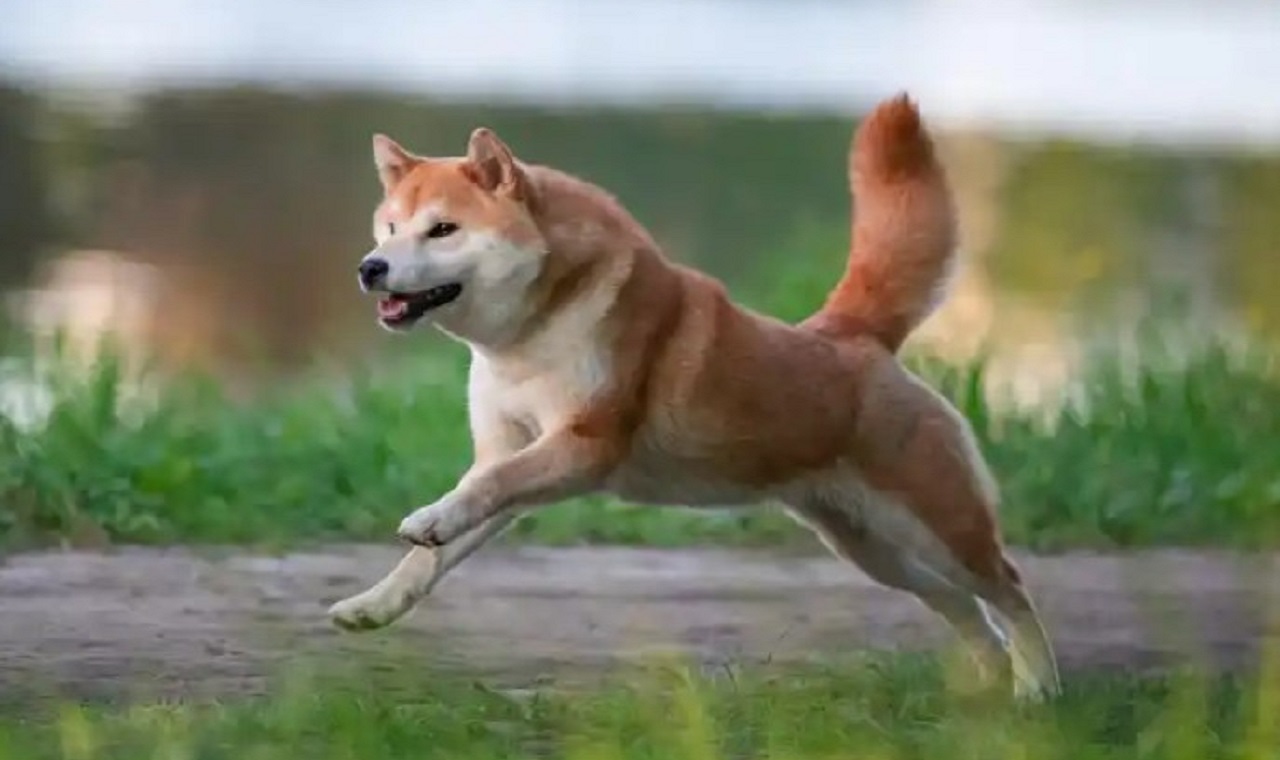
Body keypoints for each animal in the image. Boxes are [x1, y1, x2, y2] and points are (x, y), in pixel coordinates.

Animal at [327, 93, 1059, 696]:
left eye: (442, 229)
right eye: (389, 228)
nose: (368, 268)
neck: (529, 336)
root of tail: (853, 337)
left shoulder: (583, 445)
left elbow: (479, 492)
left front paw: (429, 518)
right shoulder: (514, 451)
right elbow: (439, 548)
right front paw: (376, 604)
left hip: (936, 525)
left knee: (1008, 587)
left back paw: (1038, 688)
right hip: (868, 546)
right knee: (959, 604)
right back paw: (988, 687)